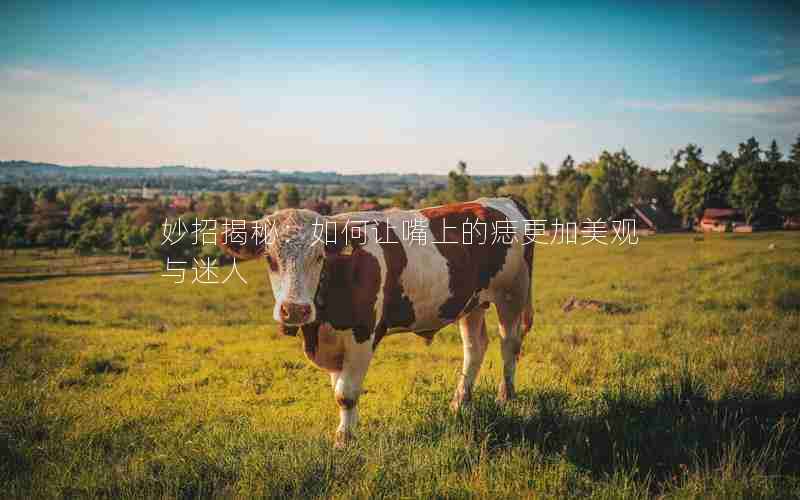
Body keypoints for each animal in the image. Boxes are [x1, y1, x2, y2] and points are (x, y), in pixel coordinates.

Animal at [217, 196, 532, 446]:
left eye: (319, 256)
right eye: (270, 259)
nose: (294, 310)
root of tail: (502, 200)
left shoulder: (362, 334)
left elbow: (346, 394)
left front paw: (344, 440)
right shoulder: (334, 345)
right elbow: (339, 387)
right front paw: (346, 431)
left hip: (511, 293)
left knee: (509, 344)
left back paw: (505, 397)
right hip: (472, 303)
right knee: (475, 347)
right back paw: (459, 402)